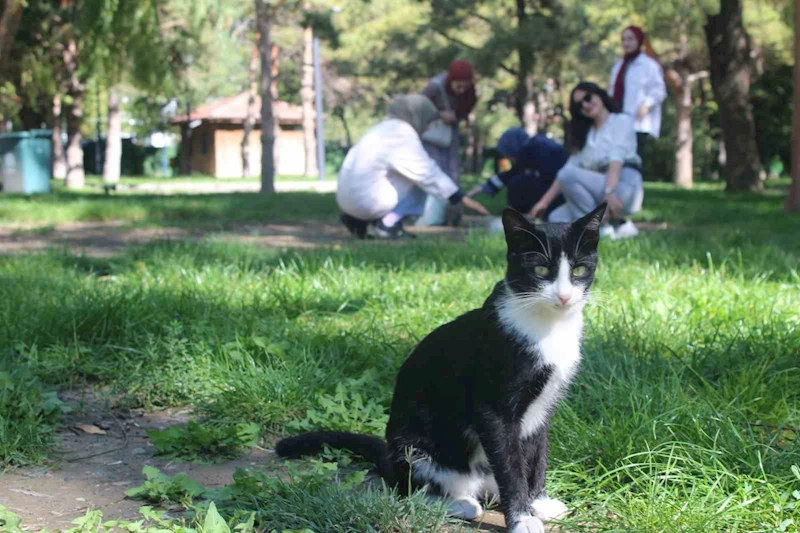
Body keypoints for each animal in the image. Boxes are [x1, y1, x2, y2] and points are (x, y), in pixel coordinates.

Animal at [276, 204, 608, 532]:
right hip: (414, 449)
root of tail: (389, 457)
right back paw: (459, 503)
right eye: (540, 270)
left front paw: (538, 501)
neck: (548, 327)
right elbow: (510, 467)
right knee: (408, 490)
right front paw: (521, 519)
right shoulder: (494, 408)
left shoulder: (544, 407)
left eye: (579, 270)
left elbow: (537, 455)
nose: (564, 296)